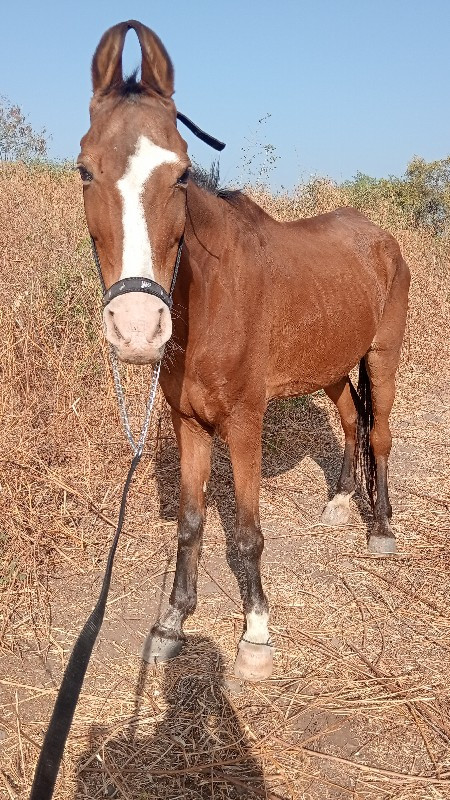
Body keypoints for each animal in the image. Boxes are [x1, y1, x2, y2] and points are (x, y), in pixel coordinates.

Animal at [78, 18, 412, 680]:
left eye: (181, 174)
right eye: (84, 171)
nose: (137, 328)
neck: (210, 298)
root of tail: (381, 238)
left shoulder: (243, 421)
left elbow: (248, 532)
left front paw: (256, 635)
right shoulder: (189, 422)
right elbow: (191, 523)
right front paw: (172, 625)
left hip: (382, 356)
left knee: (380, 433)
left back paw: (380, 528)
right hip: (330, 365)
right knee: (349, 418)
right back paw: (341, 504)